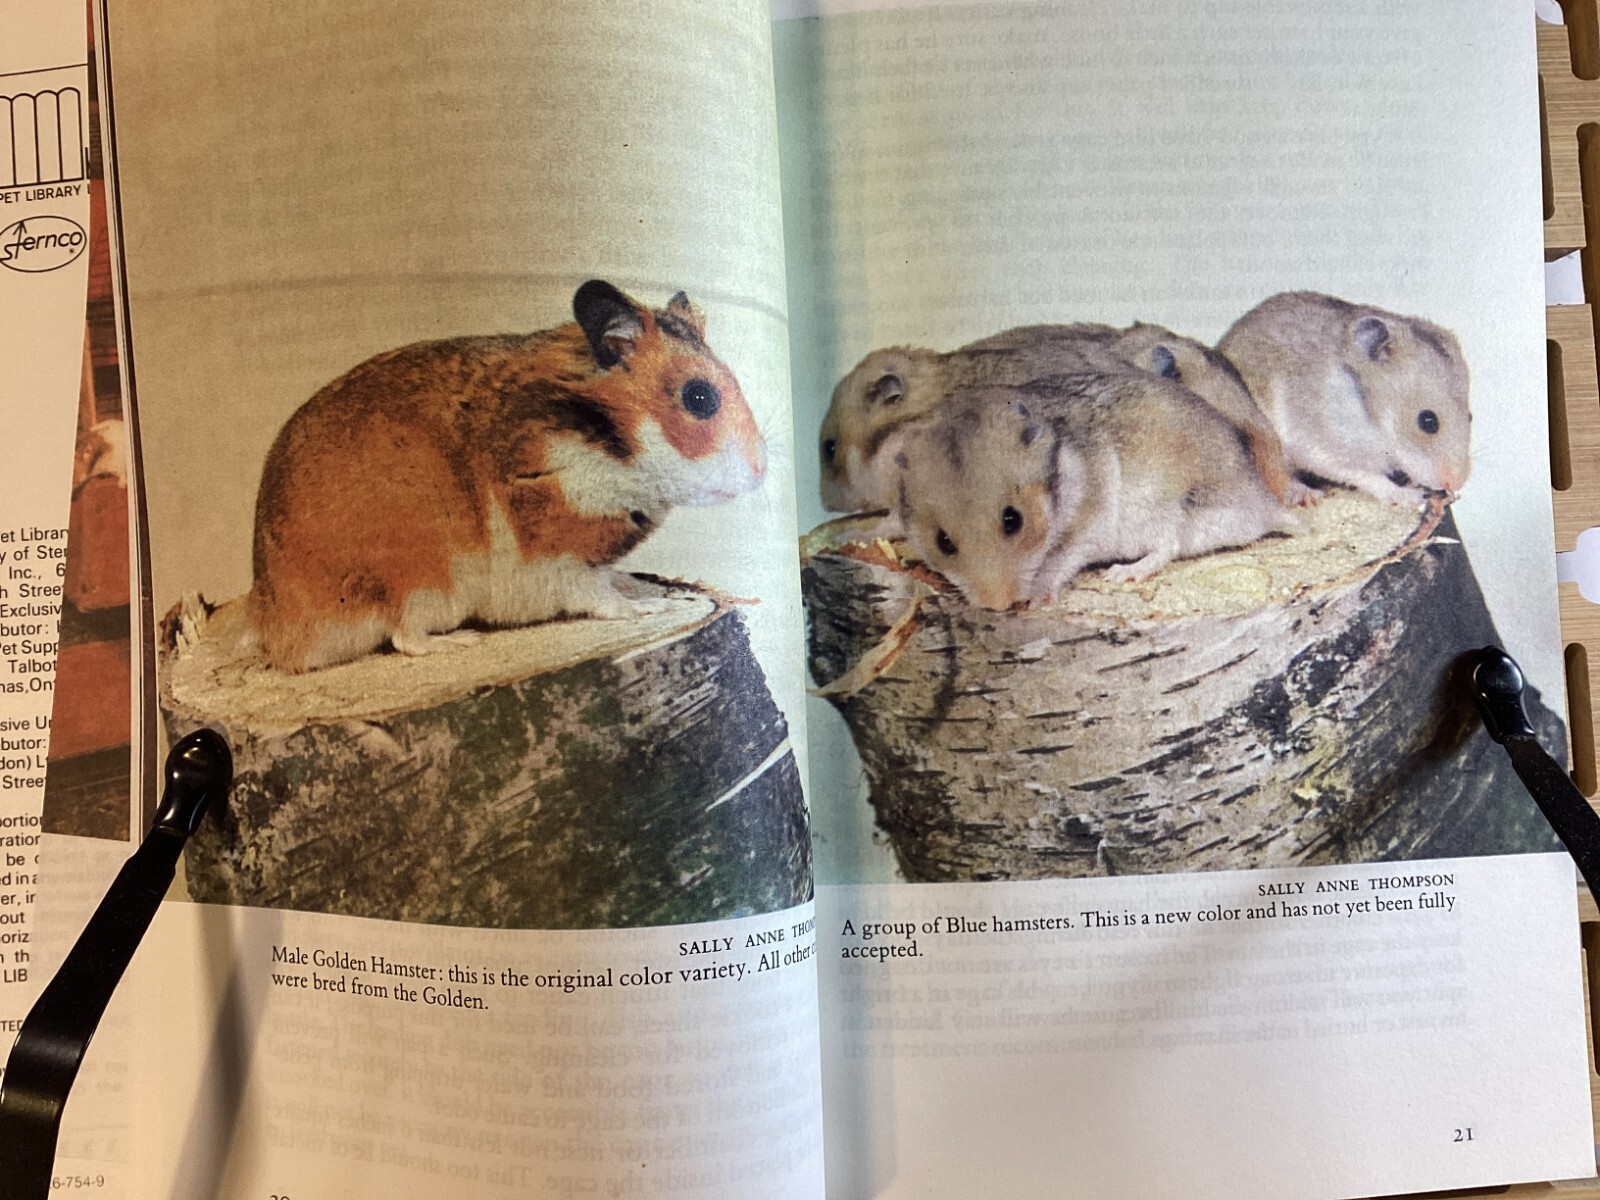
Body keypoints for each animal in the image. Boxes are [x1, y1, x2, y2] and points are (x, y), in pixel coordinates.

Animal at [249, 280, 767, 673]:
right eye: (699, 397)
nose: (761, 472)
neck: (607, 444)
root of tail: (276, 629)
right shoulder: (557, 559)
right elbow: (601, 597)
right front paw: (652, 606)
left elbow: (610, 579)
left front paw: (640, 586)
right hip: (419, 577)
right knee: (405, 637)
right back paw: (461, 642)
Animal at [893, 371, 1294, 611]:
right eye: (943, 542)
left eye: (1013, 520)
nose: (1000, 606)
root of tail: (1264, 503)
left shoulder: (1086, 528)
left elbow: (1058, 561)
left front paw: (1035, 600)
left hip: (1169, 510)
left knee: (1166, 547)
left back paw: (1122, 573)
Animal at [1217, 292, 1471, 505]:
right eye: (1427, 421)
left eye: (1470, 416)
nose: (1456, 484)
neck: (1373, 418)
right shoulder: (1322, 446)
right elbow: (1365, 475)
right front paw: (1411, 496)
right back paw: (1308, 496)